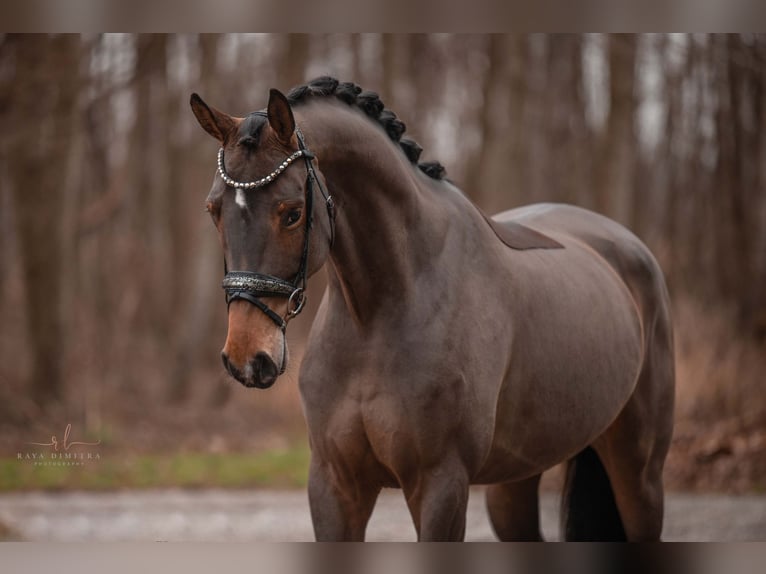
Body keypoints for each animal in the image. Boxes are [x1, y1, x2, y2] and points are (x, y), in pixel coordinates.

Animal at [189, 77, 676, 544]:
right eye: (213, 210)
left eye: (291, 213)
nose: (247, 358)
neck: (378, 318)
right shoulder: (335, 484)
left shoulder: (440, 484)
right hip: (516, 479)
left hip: (639, 474)